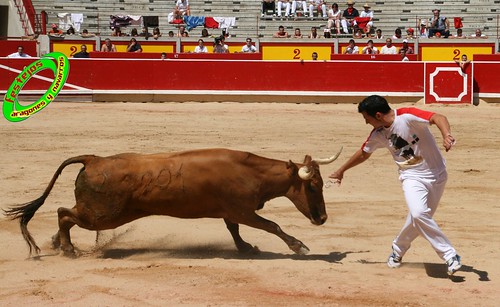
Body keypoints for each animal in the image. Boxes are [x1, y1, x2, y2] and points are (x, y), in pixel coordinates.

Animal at [3, 149, 340, 258]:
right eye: (313, 186)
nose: (322, 219)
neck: (250, 171)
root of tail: (93, 159)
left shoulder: (232, 212)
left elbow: (233, 230)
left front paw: (246, 248)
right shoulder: (244, 211)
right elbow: (272, 226)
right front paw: (299, 246)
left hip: (100, 215)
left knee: (66, 216)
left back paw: (59, 243)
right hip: (104, 216)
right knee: (64, 214)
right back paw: (68, 249)